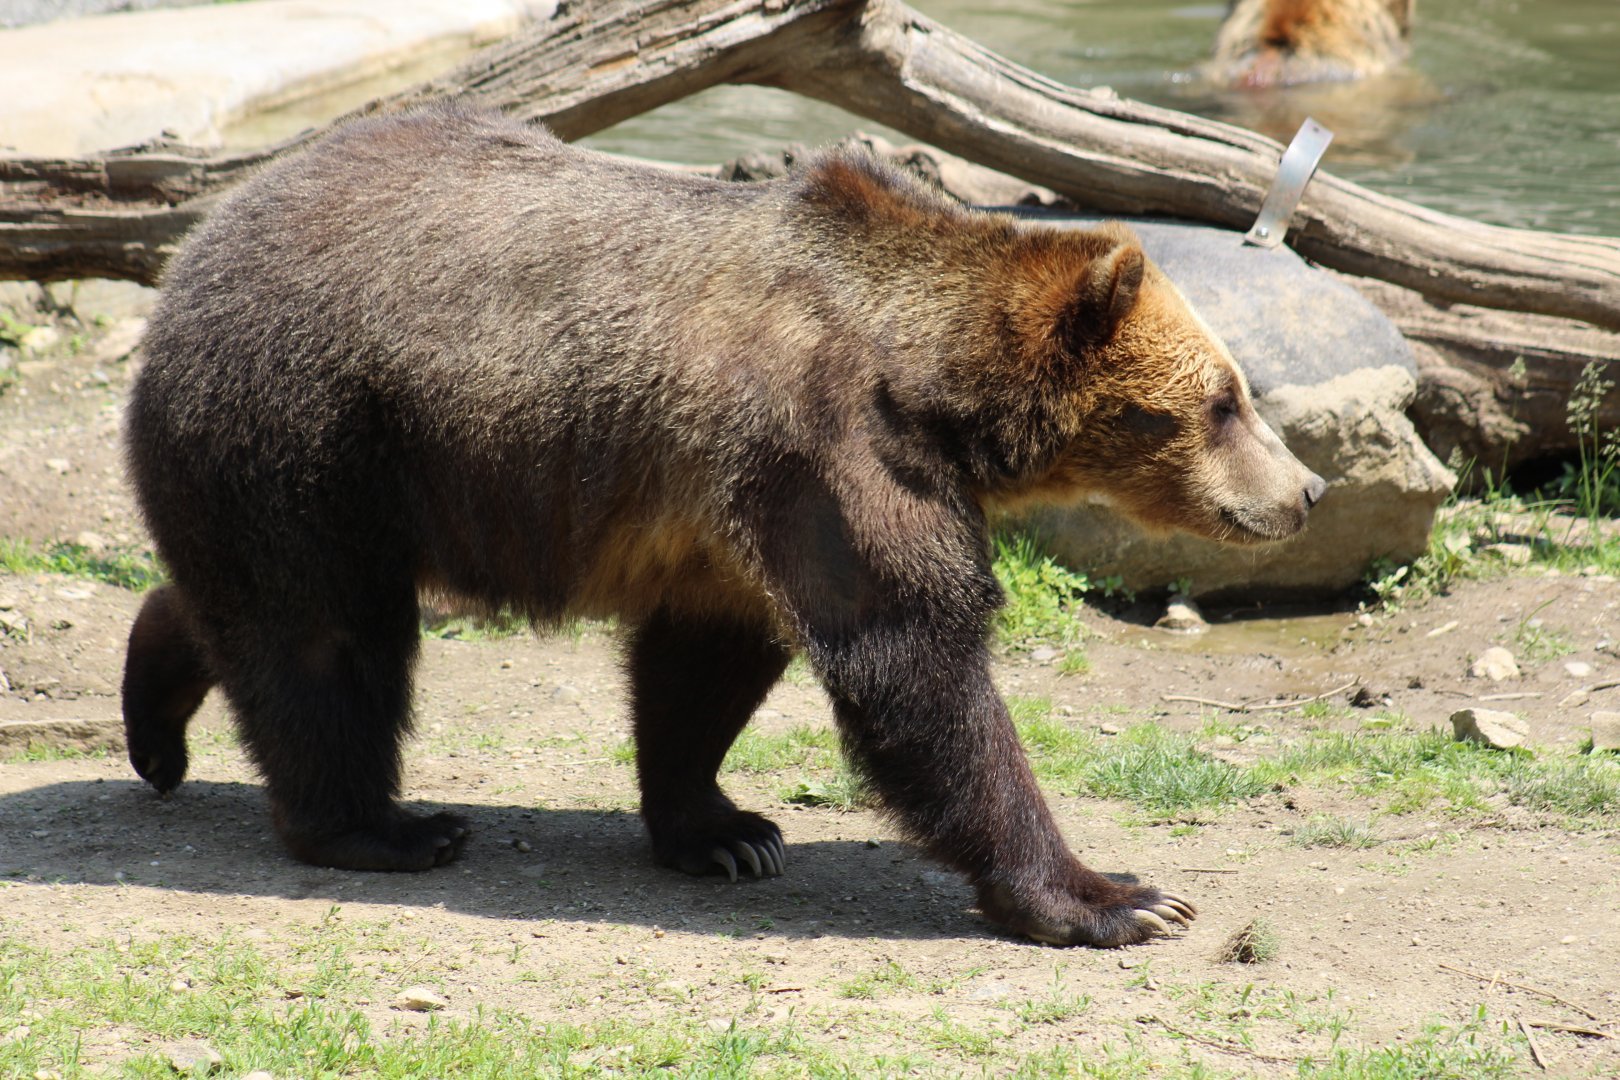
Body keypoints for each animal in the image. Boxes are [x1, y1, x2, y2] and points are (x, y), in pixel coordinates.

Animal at [121, 102, 1325, 948]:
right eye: (1225, 400)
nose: (1305, 491)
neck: (931, 383)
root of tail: (200, 241)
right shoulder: (831, 442)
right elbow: (916, 660)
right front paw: (1117, 897)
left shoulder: (730, 501)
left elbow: (708, 658)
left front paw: (727, 831)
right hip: (313, 424)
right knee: (325, 633)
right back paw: (383, 826)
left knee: (246, 604)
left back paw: (158, 715)